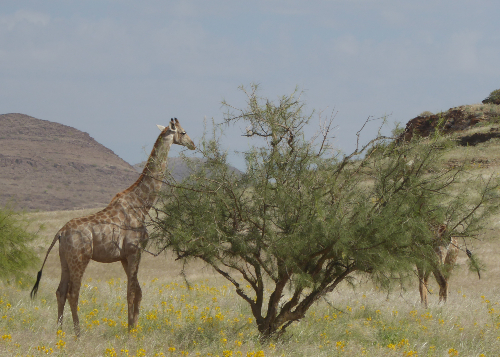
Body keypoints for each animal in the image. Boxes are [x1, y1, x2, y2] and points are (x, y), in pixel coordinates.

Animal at [30, 118, 195, 336]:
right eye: (183, 132)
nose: (193, 144)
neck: (142, 205)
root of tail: (60, 233)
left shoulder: (125, 256)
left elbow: (137, 291)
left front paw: (133, 327)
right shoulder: (134, 251)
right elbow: (131, 292)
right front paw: (130, 331)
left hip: (64, 259)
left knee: (60, 291)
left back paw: (59, 332)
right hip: (80, 258)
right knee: (73, 293)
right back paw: (78, 333)